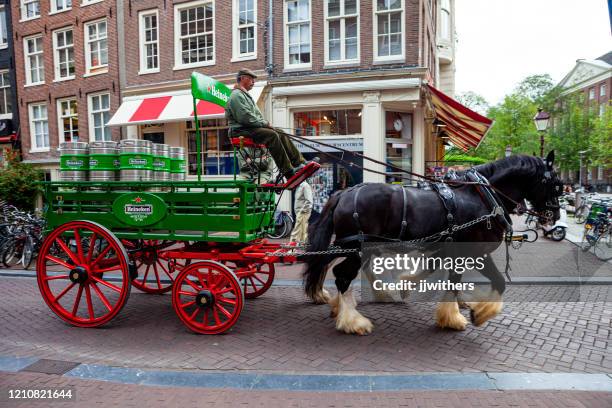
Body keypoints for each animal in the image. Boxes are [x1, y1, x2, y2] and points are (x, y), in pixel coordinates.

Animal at [304, 152, 560, 334]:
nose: (554, 216)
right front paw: (467, 316)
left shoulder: (447, 249)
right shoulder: (474, 252)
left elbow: (435, 272)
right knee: (341, 275)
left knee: (328, 264)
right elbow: (494, 281)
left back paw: (337, 302)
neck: (483, 196)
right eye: (556, 184)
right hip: (357, 248)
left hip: (356, 247)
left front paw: (408, 287)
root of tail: (343, 193)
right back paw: (353, 321)